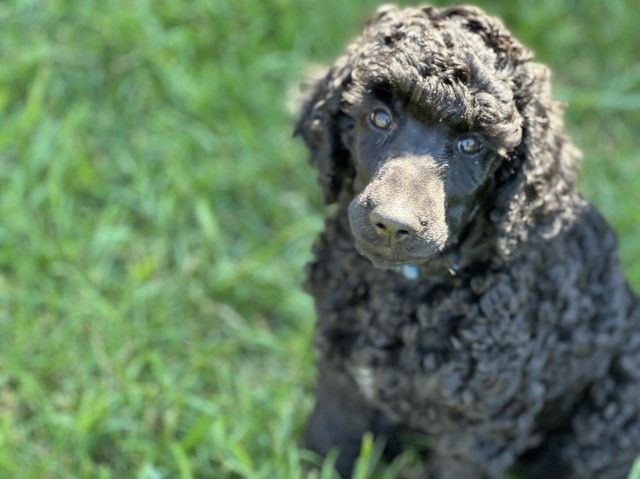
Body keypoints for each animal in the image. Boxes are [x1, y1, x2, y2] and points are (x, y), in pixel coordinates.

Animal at [296, 4, 640, 479]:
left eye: (471, 144)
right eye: (380, 117)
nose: (392, 225)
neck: (405, 289)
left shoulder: (482, 422)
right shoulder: (338, 369)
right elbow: (329, 440)